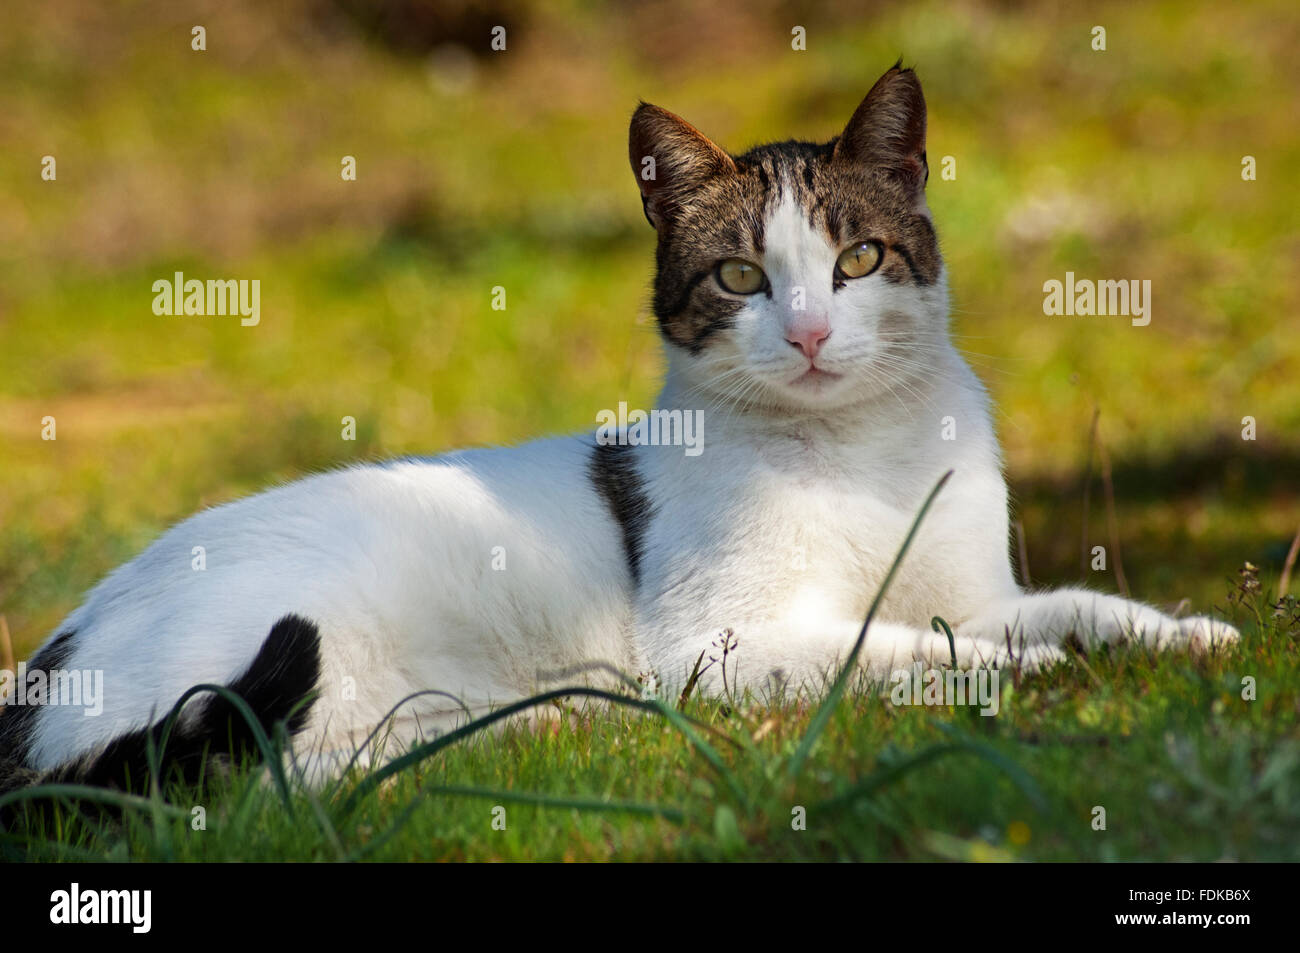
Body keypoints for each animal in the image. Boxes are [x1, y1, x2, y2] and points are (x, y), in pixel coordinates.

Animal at [0, 61, 1237, 795]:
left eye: (857, 259)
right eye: (741, 275)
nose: (806, 332)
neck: (858, 455)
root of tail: (40, 671)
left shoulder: (977, 587)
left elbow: (1064, 607)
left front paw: (1186, 634)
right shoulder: (717, 644)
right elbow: (913, 648)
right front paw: (1011, 675)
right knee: (261, 784)